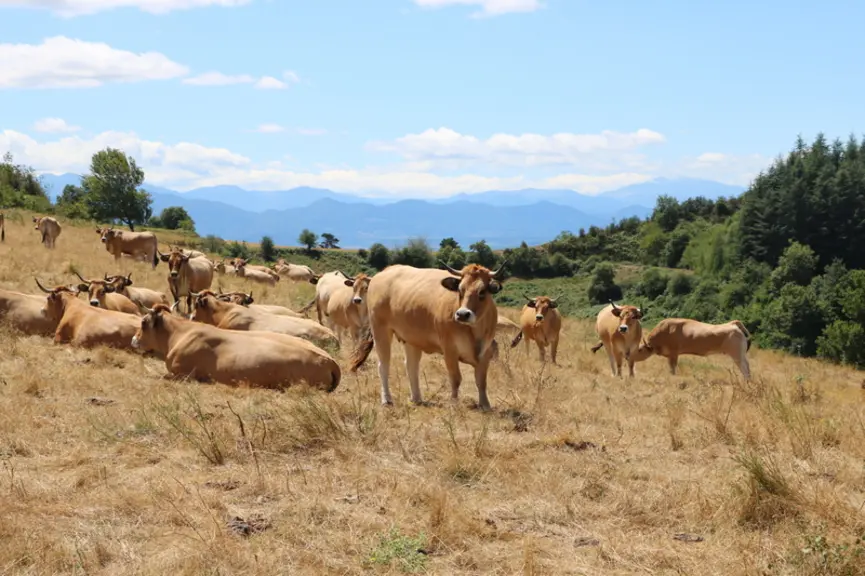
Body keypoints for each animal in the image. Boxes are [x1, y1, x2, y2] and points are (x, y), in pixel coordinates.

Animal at [349, 261, 508, 411]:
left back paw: (417, 398)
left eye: (482, 292)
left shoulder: (486, 352)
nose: (462, 314)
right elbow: (455, 378)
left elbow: (481, 381)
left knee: (411, 366)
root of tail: (387, 270)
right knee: (383, 366)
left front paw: (485, 405)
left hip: (411, 338)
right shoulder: (449, 350)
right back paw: (387, 400)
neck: (474, 331)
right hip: (380, 330)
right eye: (460, 290)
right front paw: (454, 404)